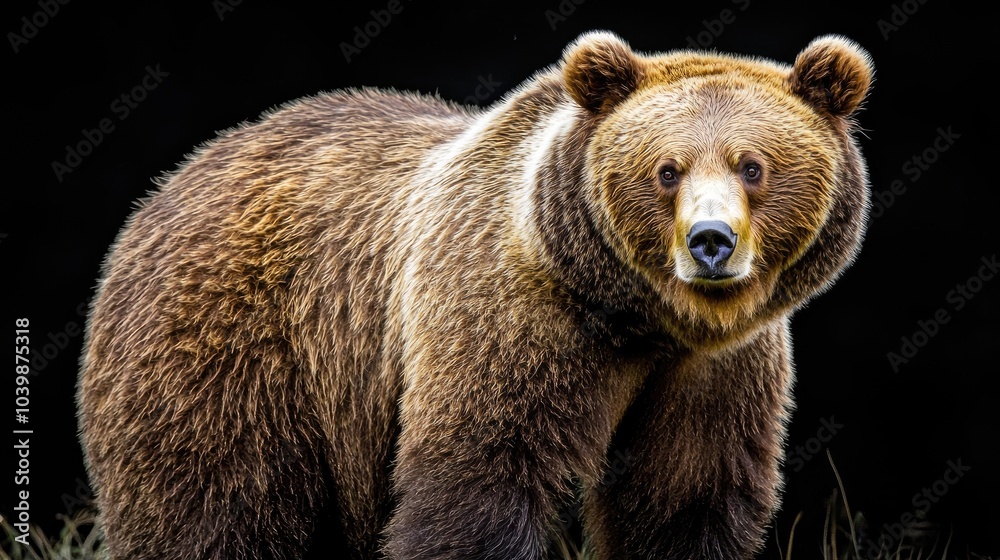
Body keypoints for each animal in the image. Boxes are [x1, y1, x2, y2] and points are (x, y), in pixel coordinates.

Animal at [77, 30, 873, 559]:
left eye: (753, 166)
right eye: (667, 169)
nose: (710, 241)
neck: (634, 317)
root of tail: (177, 179)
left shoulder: (717, 371)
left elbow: (686, 499)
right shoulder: (508, 315)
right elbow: (479, 479)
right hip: (231, 345)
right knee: (215, 501)